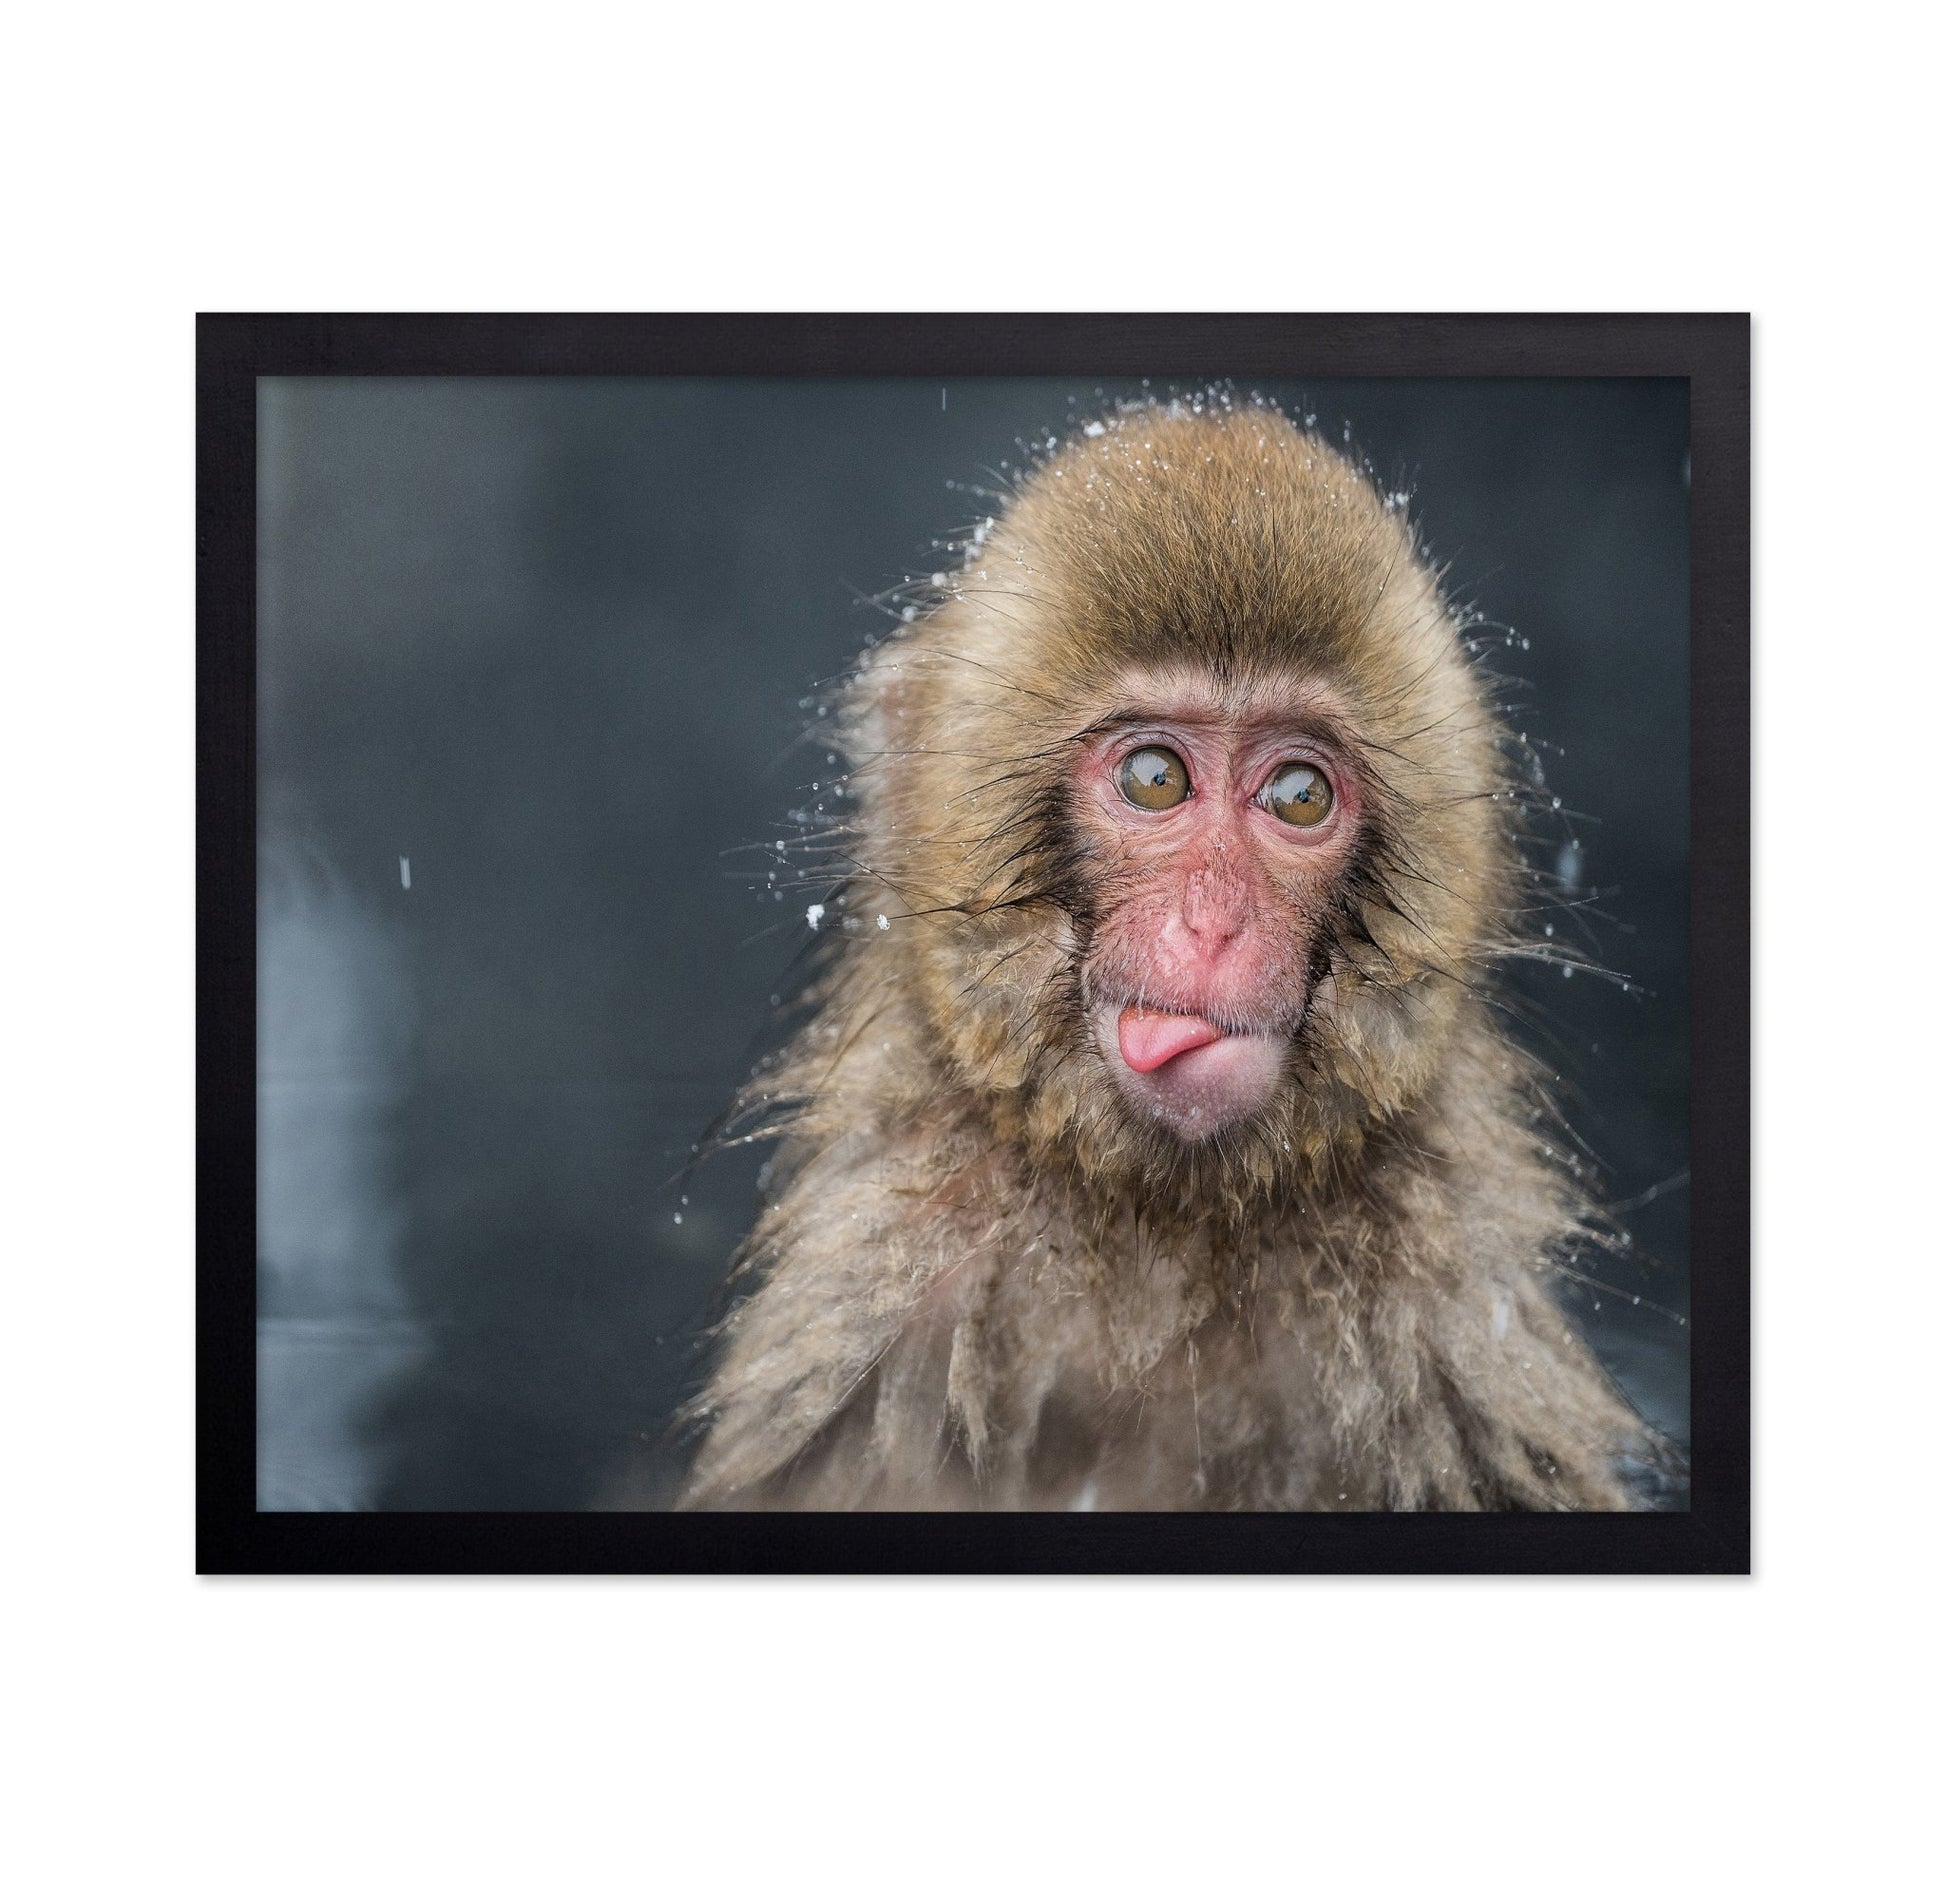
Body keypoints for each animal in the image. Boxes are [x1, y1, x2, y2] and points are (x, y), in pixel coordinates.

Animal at [676, 394, 1676, 1512]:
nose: (1213, 926)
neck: (1159, 1220)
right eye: (1154, 777)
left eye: (1299, 795)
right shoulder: (879, 1303)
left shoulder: (1456, 1348)